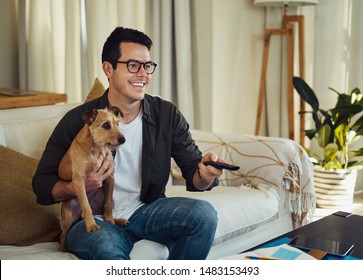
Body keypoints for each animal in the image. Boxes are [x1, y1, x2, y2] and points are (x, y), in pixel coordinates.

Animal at [58, 106, 129, 250]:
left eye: (118, 124)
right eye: (106, 125)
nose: (123, 139)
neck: (96, 148)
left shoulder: (110, 178)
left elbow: (108, 205)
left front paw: (111, 221)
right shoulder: (79, 180)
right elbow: (86, 206)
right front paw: (91, 225)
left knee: (103, 209)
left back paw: (118, 220)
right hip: (68, 217)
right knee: (62, 236)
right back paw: (64, 250)